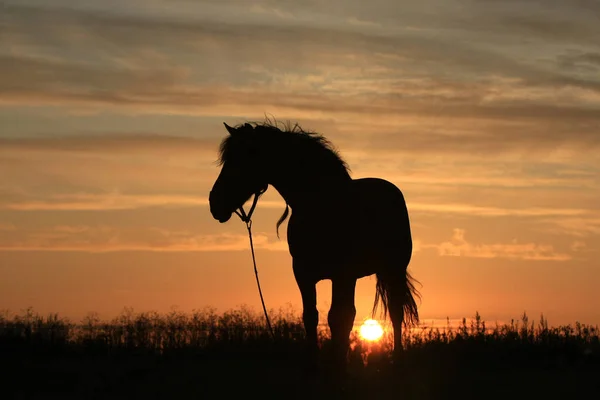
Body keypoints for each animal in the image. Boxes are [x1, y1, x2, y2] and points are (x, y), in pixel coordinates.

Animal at [209, 119, 420, 372]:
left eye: (247, 154)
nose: (214, 203)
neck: (320, 204)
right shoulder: (303, 273)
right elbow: (311, 316)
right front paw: (314, 364)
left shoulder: (342, 274)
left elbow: (339, 317)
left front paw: (339, 366)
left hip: (392, 270)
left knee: (395, 312)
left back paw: (397, 360)